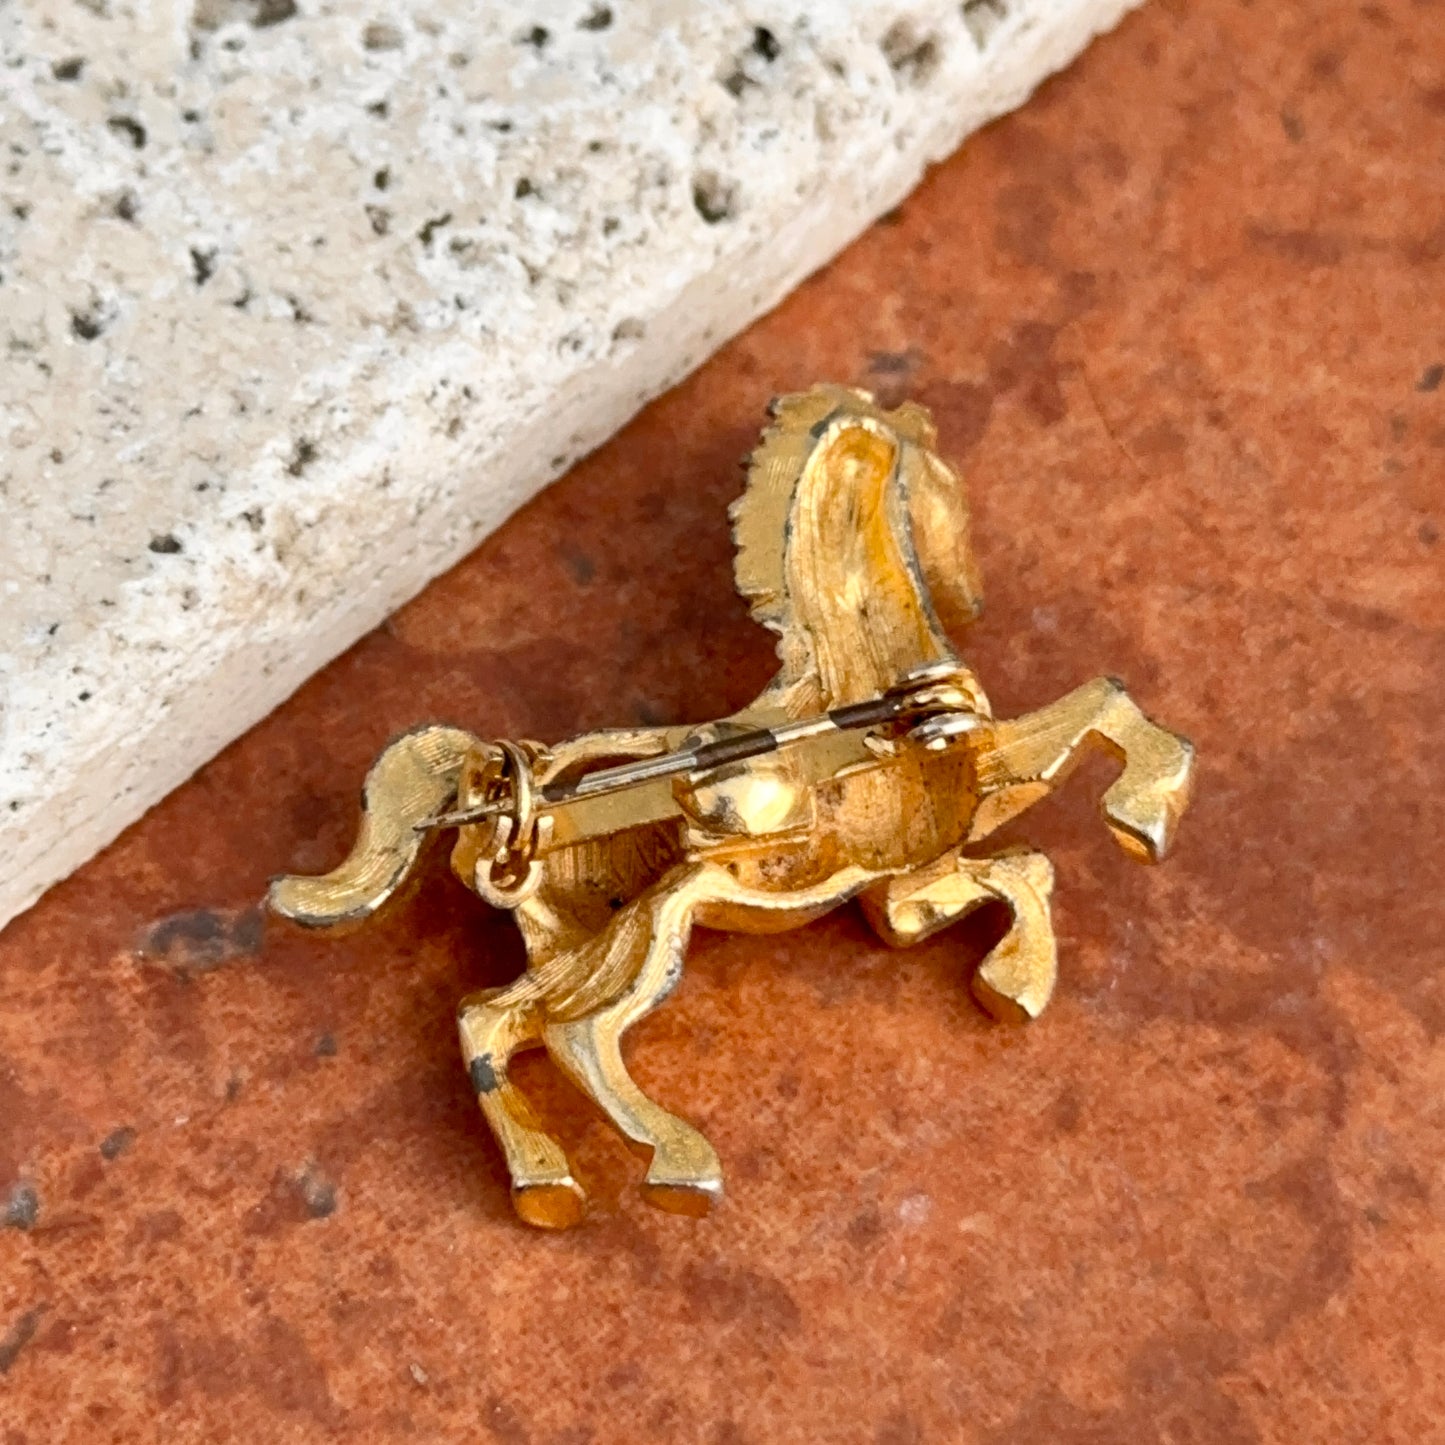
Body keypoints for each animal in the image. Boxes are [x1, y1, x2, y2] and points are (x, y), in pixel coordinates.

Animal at [270, 385, 1195, 1229]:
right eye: (947, 487)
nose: (969, 591)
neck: (868, 687)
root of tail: (500, 804)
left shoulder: (903, 878)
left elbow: (1023, 860)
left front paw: (1013, 975)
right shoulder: (940, 820)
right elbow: (1100, 712)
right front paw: (1142, 813)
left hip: (580, 944)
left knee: (485, 1023)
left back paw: (545, 1182)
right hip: (652, 927)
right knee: (576, 1036)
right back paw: (678, 1163)